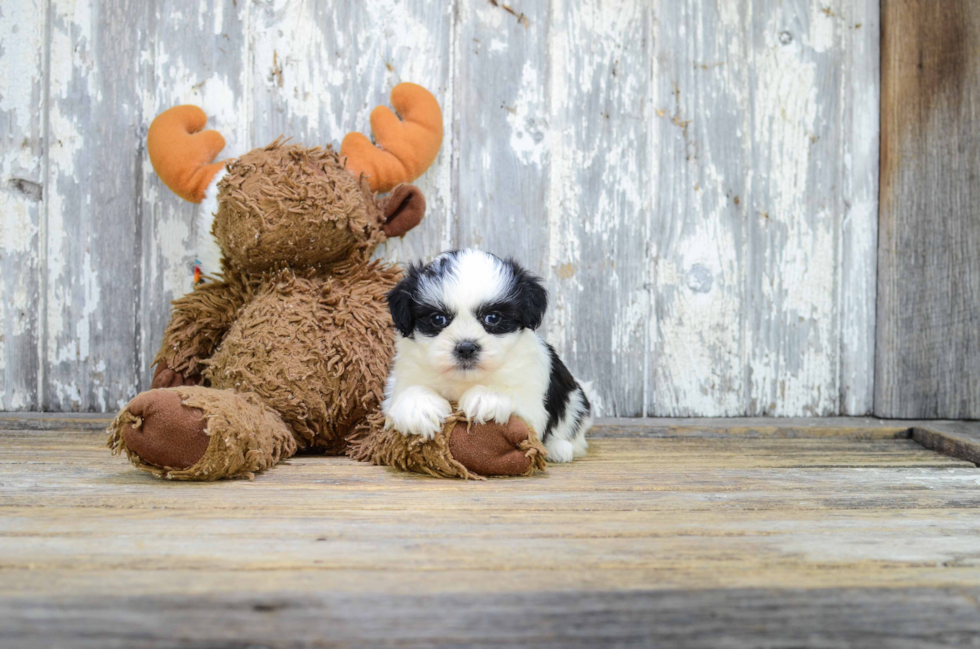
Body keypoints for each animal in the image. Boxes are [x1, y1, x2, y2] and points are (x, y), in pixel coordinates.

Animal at [386, 247, 592, 460]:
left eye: (492, 318)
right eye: (437, 319)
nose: (466, 347)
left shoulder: (531, 398)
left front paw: (486, 397)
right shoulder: (405, 375)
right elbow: (410, 390)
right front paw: (419, 406)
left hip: (575, 400)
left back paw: (558, 448)